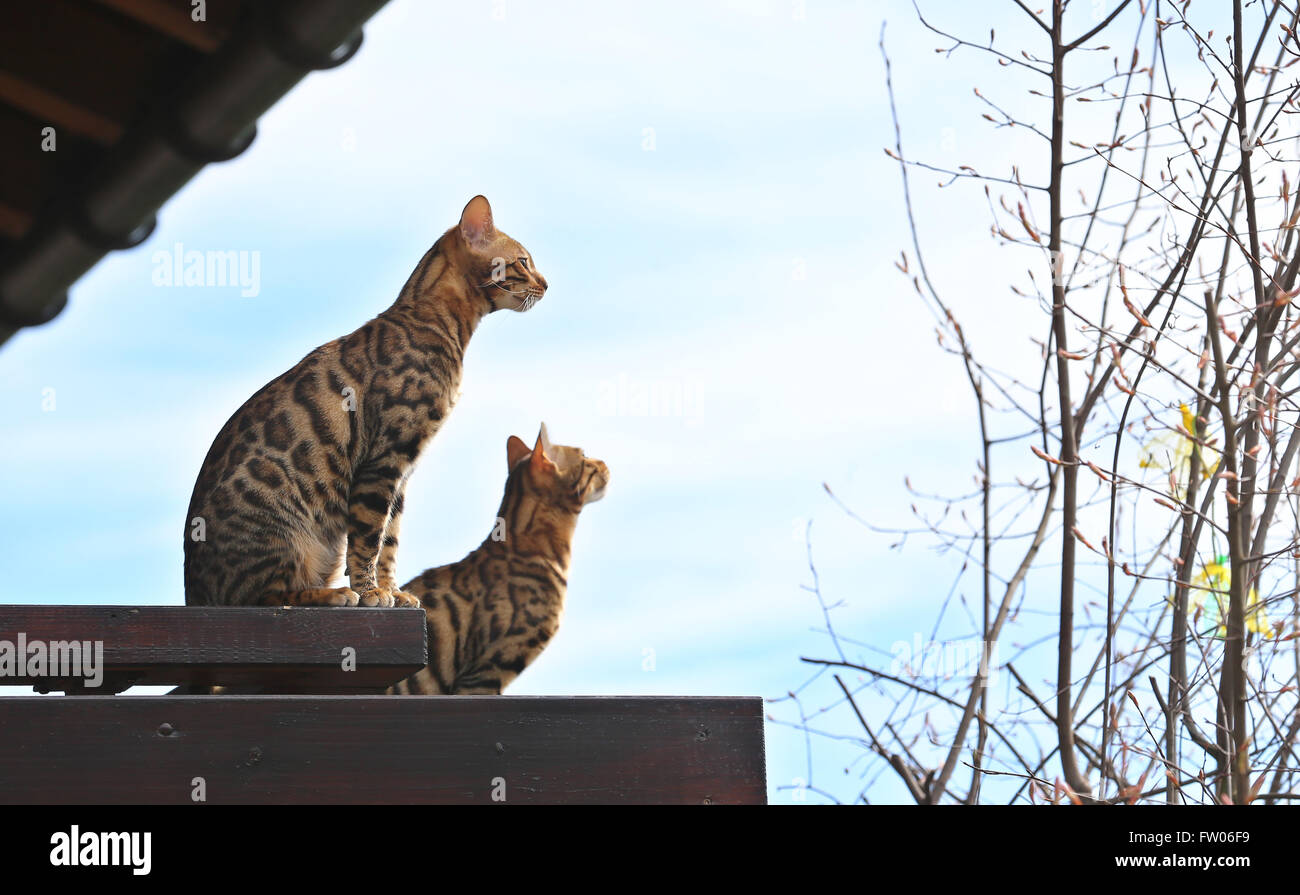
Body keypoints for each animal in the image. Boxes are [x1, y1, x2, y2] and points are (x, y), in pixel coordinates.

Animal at [184, 195, 548, 608]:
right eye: (523, 262)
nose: (546, 284)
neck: (444, 325)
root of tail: (193, 593)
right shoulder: (384, 460)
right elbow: (368, 537)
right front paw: (370, 590)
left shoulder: (401, 473)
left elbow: (390, 539)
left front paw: (392, 590)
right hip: (286, 532)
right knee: (265, 595)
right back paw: (334, 594)